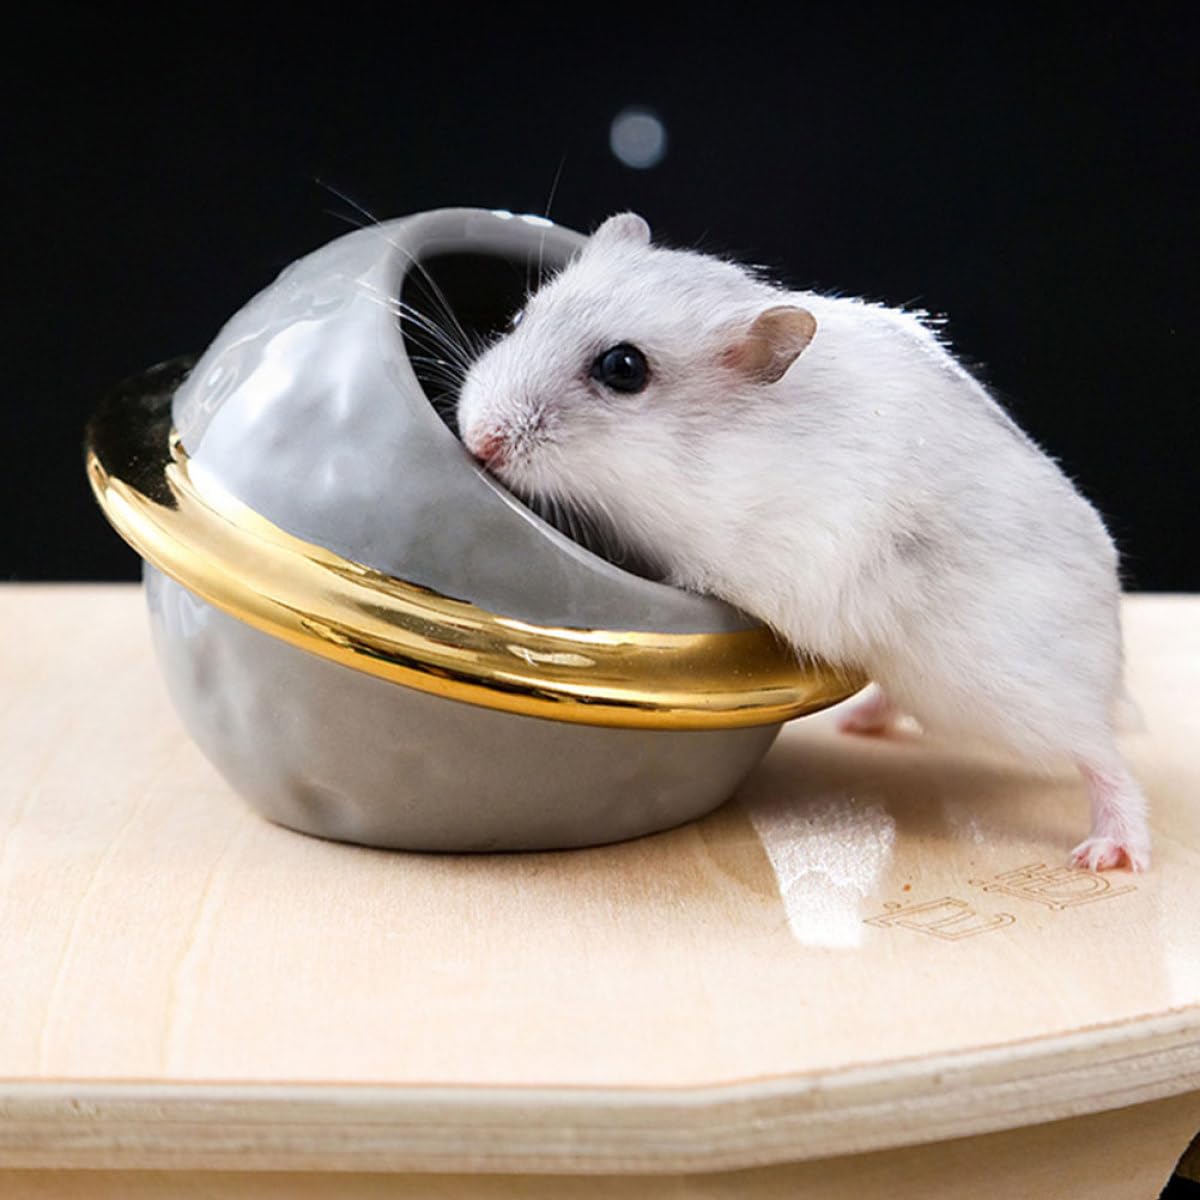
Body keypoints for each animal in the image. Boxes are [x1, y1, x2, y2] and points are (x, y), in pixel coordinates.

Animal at [455, 212, 1149, 872]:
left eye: (623, 369)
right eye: (519, 317)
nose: (476, 439)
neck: (702, 457)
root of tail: (1113, 657)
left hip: (1008, 692)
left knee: (1104, 756)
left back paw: (1111, 853)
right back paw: (858, 725)